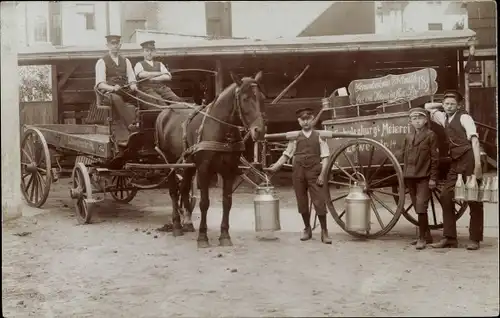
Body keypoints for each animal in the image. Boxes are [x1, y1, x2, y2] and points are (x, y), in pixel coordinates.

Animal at [156, 71, 268, 247]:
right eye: (245, 98)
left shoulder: (230, 170)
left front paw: (225, 235)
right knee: (174, 192)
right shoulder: (204, 170)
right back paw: (176, 225)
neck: (221, 131)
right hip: (170, 162)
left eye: (262, 98)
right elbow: (204, 203)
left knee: (184, 188)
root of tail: (164, 112)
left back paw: (187, 222)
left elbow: (227, 202)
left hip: (188, 165)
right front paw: (203, 236)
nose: (260, 131)